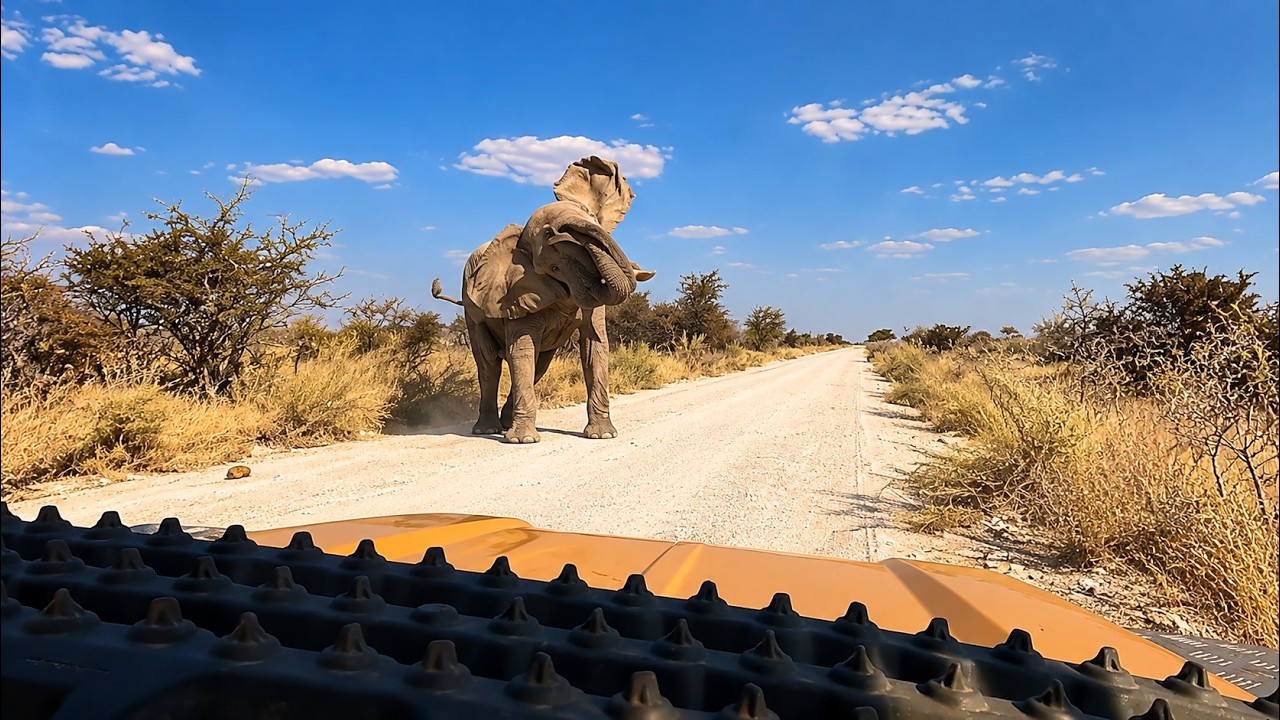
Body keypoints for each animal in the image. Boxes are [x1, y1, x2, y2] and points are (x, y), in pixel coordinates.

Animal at [432, 156, 654, 444]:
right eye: (555, 267)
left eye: (589, 217)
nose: (557, 232)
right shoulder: (513, 294)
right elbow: (522, 349)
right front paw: (523, 441)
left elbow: (594, 345)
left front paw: (603, 436)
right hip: (472, 312)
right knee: (489, 363)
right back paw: (489, 430)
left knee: (540, 364)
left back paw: (506, 423)